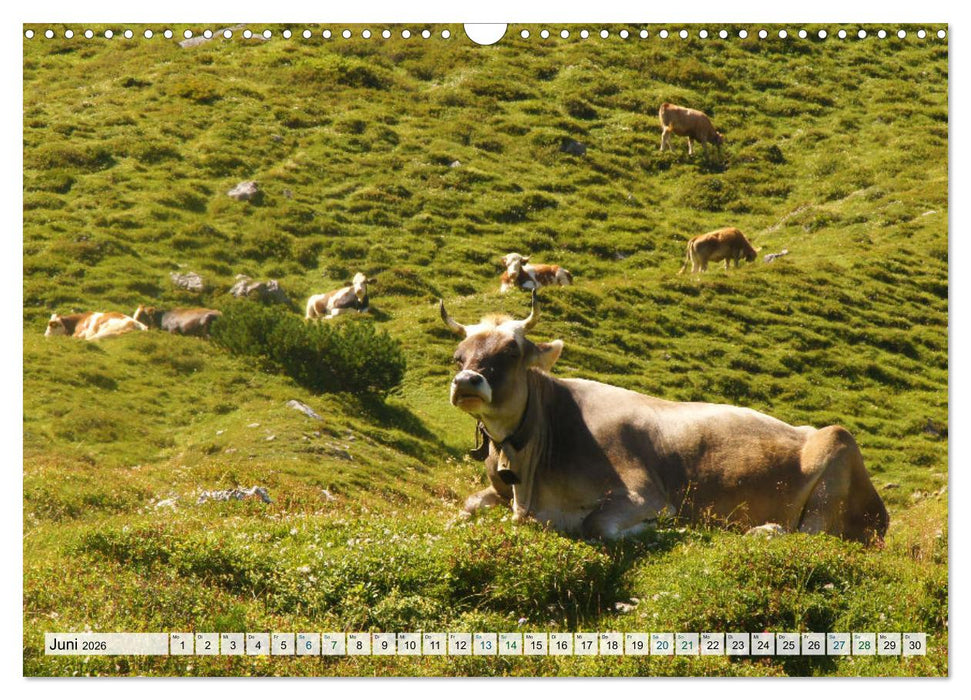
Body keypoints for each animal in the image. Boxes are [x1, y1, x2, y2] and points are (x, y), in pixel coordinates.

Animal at [439, 292, 888, 544]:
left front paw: (663, 529)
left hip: (837, 451)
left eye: (510, 352)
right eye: (458, 356)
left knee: (812, 536)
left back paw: (765, 530)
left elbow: (596, 525)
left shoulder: (643, 493)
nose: (466, 381)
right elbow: (467, 505)